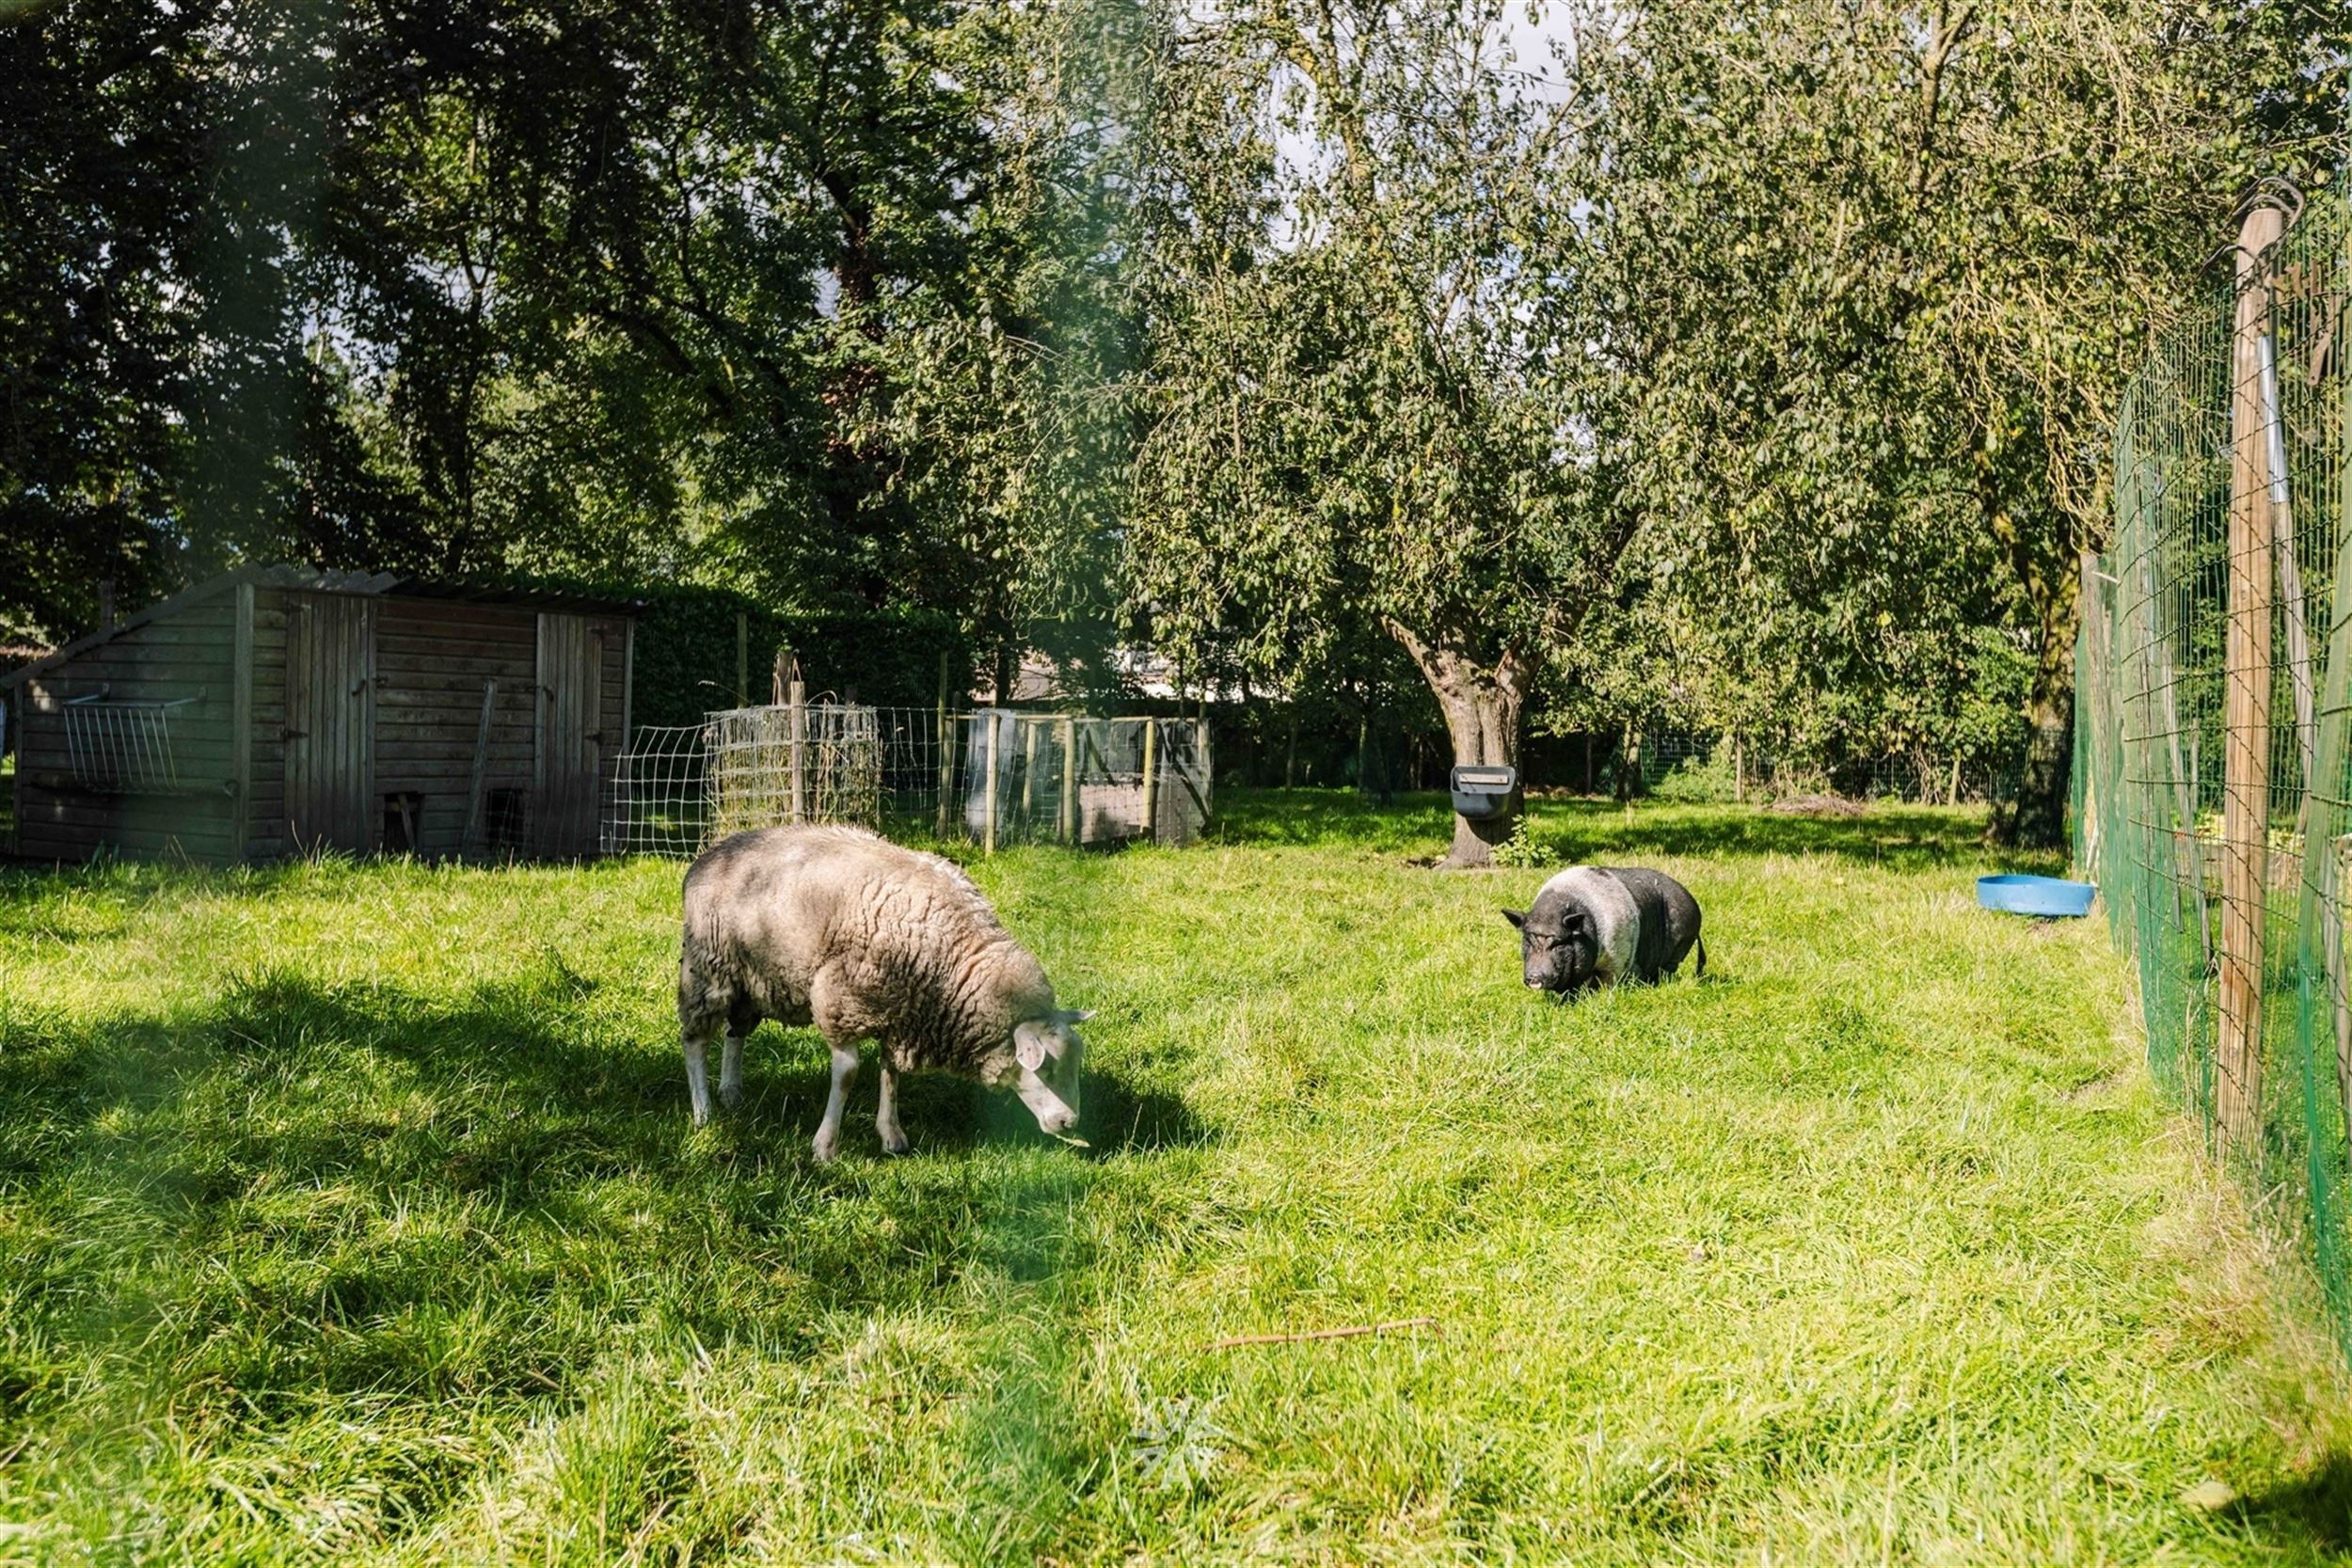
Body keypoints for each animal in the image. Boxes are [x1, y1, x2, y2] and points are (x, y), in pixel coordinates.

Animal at [673, 827, 1091, 1161]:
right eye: (1046, 1066)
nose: (1070, 1122)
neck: (954, 959)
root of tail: (710, 853)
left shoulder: (902, 1012)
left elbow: (891, 1073)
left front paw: (891, 1134)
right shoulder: (842, 999)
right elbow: (846, 1074)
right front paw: (825, 1146)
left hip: (751, 978)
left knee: (735, 1032)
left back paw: (731, 1091)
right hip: (708, 965)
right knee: (695, 1040)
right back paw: (703, 1111)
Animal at [1505, 864, 1712, 1001]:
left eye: (1559, 944)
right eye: (1528, 941)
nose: (1535, 977)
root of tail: (1693, 902)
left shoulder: (1616, 958)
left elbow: (1608, 982)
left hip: (1682, 940)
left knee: (1668, 968)